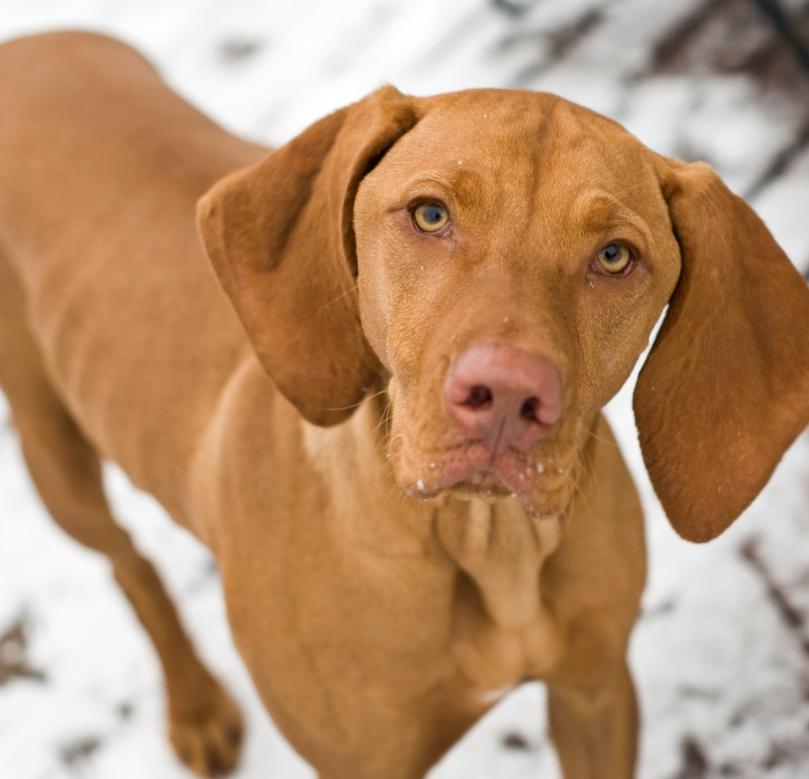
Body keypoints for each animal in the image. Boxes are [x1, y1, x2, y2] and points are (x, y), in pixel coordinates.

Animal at [1, 30, 808, 779]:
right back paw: (195, 704)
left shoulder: (596, 695)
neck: (487, 545)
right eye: (429, 215)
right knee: (125, 560)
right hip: (53, 460)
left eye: (615, 257)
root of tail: (36, 42)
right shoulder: (365, 760)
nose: (506, 396)